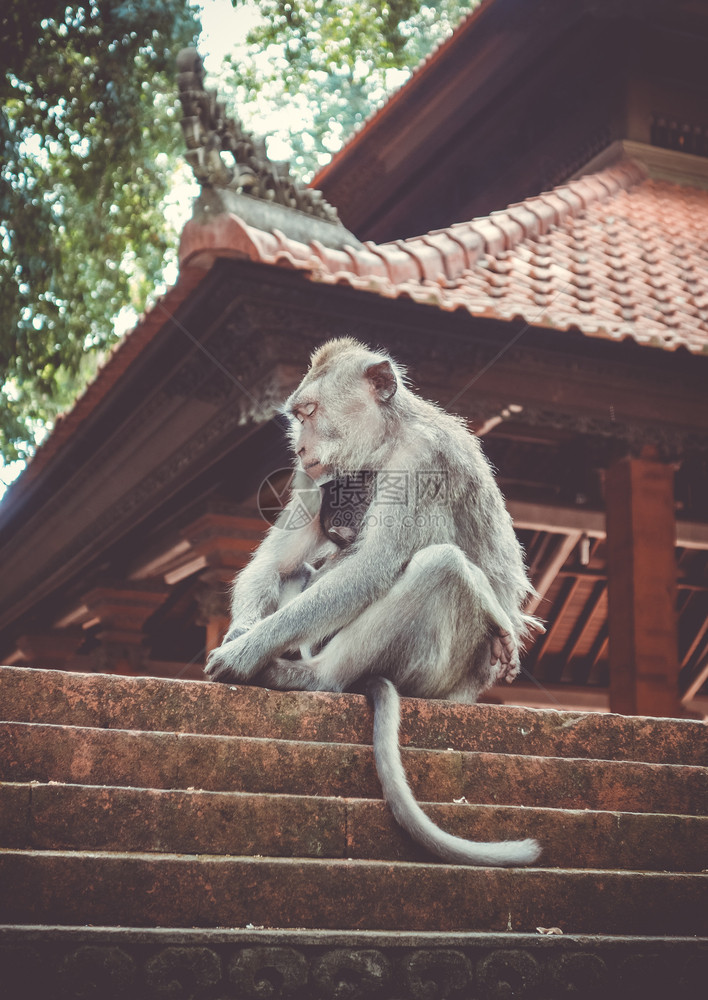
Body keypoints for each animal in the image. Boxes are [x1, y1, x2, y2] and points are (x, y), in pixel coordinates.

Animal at [205, 338, 544, 868]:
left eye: (310, 412)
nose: (298, 447)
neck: (385, 441)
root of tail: (469, 692)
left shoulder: (423, 460)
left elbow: (374, 564)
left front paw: (244, 651)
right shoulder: (313, 478)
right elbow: (280, 562)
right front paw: (242, 633)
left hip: (440, 674)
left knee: (441, 564)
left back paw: (313, 677)